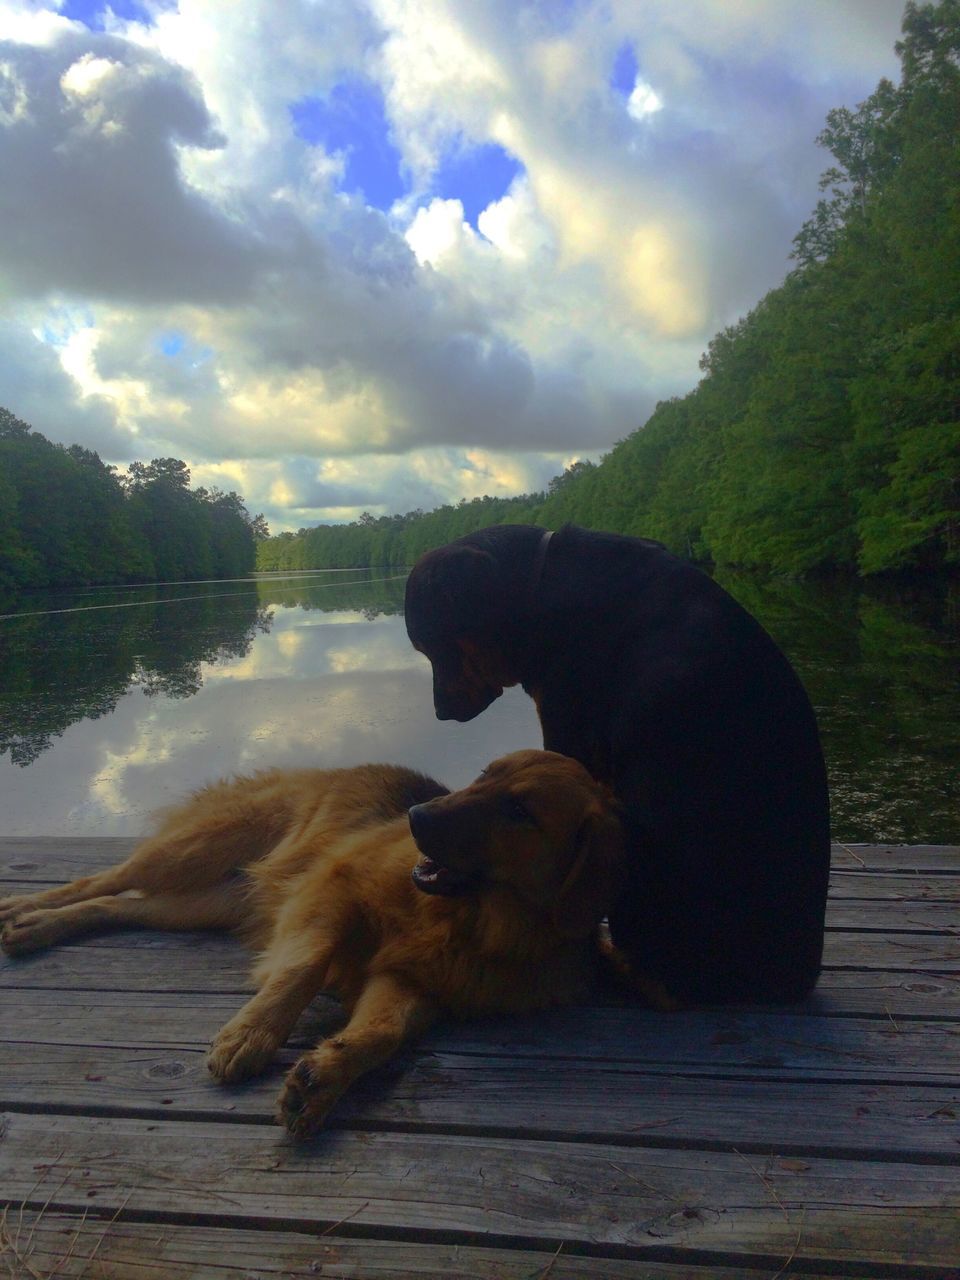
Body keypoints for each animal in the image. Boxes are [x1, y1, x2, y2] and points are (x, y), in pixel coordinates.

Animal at [0, 747, 624, 1136]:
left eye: (519, 809)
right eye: (482, 776)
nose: (416, 815)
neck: (471, 919)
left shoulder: (410, 981)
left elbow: (381, 1032)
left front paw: (324, 1077)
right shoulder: (331, 889)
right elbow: (306, 966)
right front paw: (251, 1034)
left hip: (210, 902)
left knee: (121, 905)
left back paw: (37, 929)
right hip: (197, 849)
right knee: (104, 879)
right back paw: (24, 911)